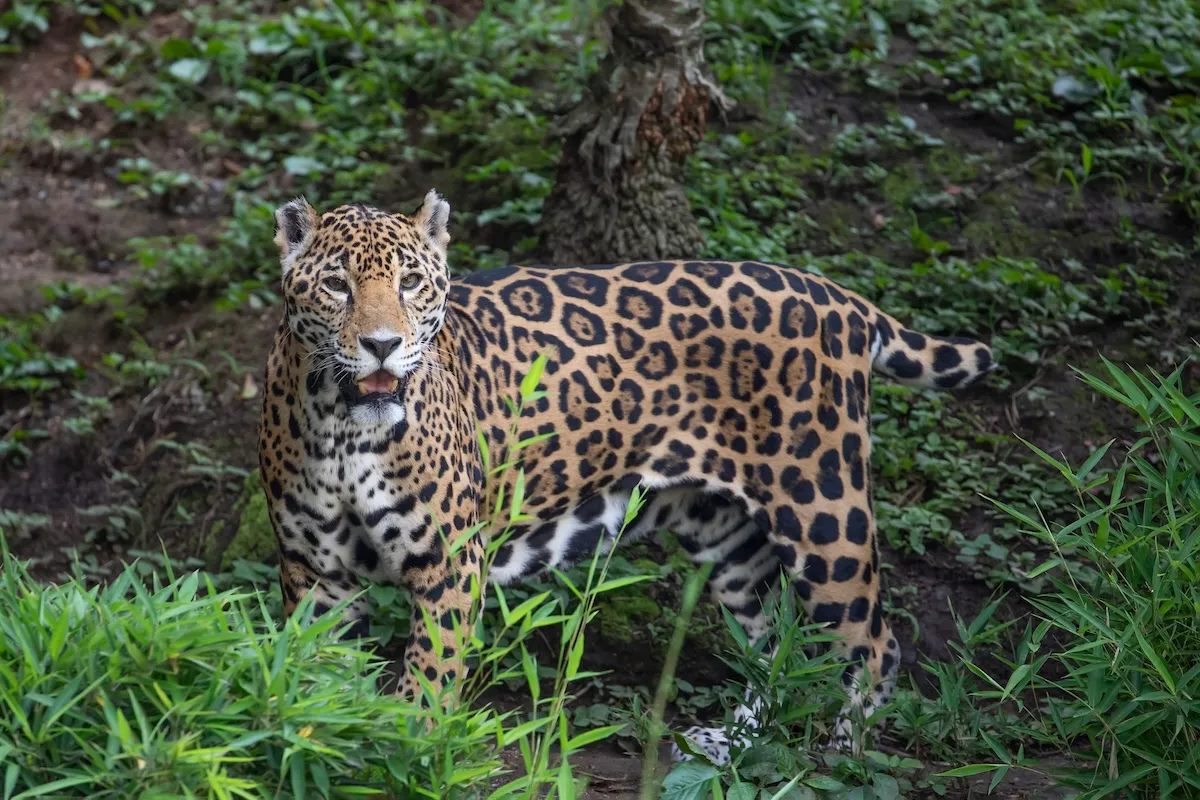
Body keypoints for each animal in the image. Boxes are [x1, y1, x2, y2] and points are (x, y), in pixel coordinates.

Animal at [258, 190, 997, 765]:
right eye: (337, 285)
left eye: (411, 282)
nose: (382, 345)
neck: (346, 431)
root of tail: (837, 295)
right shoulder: (314, 572)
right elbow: (313, 678)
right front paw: (323, 739)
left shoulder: (449, 564)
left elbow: (430, 678)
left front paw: (412, 746)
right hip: (726, 534)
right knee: (776, 639)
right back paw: (732, 743)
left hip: (822, 506)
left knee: (874, 645)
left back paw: (841, 759)